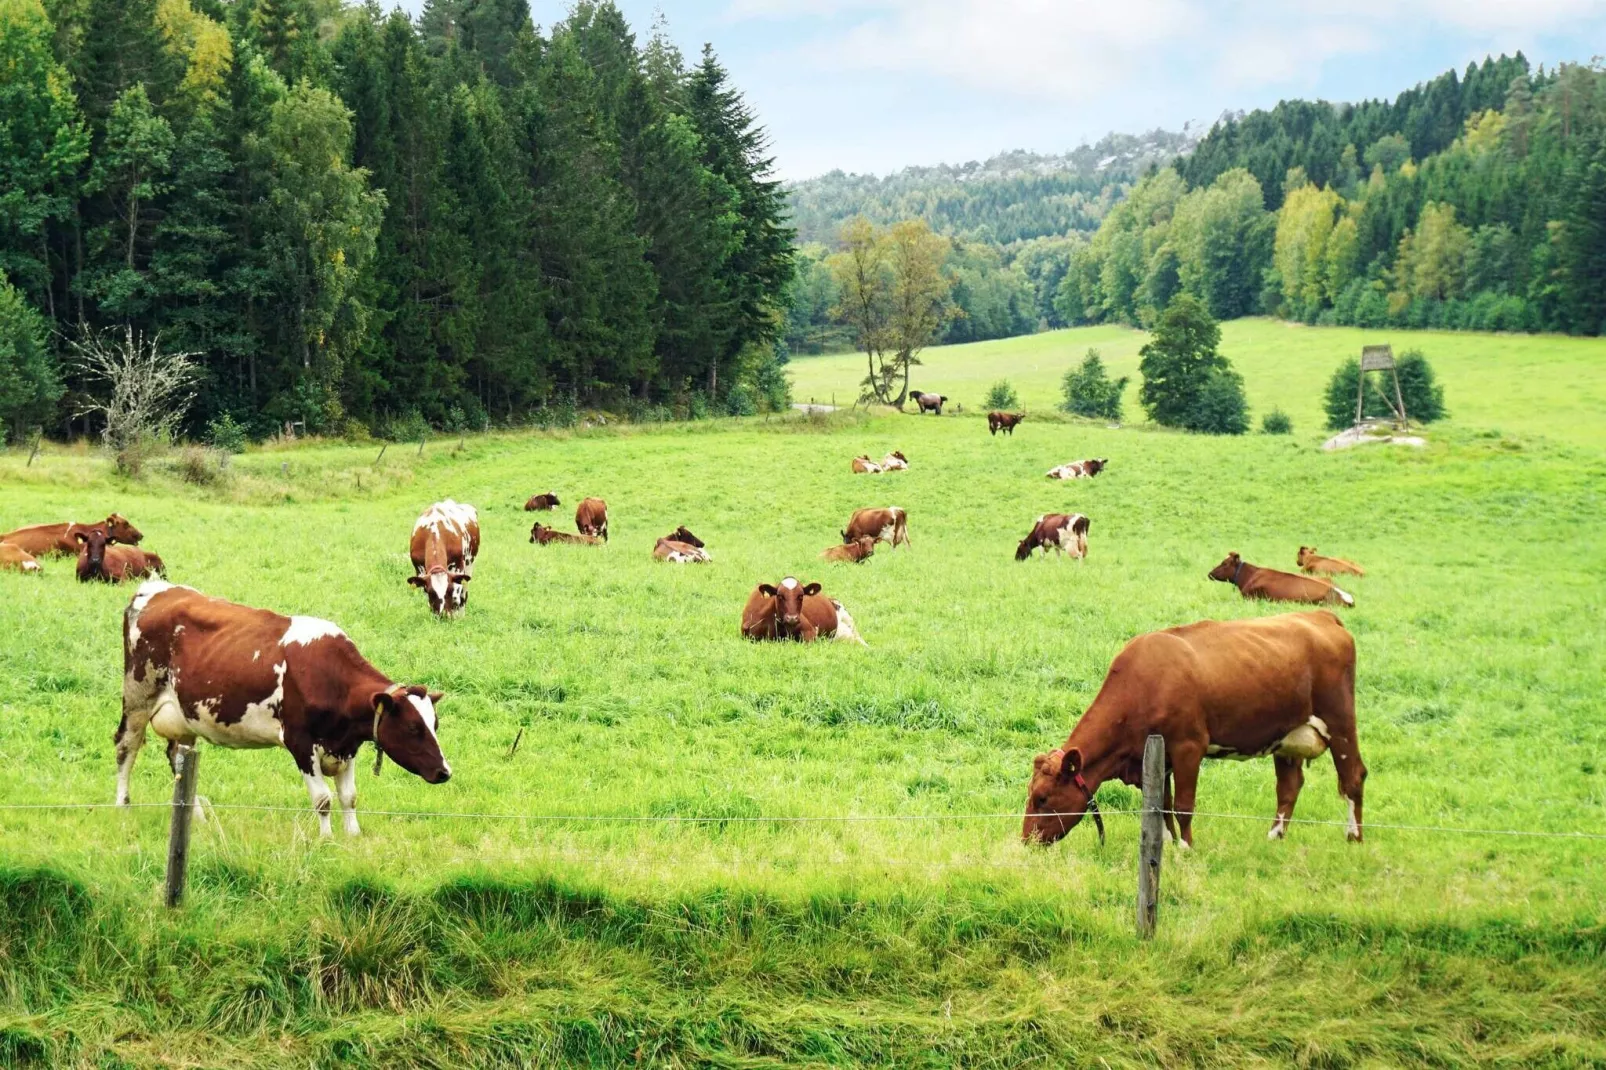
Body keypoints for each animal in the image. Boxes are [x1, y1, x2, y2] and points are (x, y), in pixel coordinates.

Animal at [116, 575, 449, 835]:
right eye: (412, 727)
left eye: (435, 724)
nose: (445, 772)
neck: (330, 676)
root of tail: (154, 588)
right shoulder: (300, 743)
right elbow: (323, 800)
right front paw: (326, 841)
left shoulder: (347, 745)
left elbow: (349, 797)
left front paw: (352, 838)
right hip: (137, 698)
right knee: (125, 747)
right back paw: (122, 807)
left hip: (185, 716)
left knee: (178, 759)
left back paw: (196, 817)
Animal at [1027, 607, 1368, 848]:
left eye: (1042, 798)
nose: (1026, 840)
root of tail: (1321, 616)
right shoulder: (1156, 756)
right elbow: (1161, 805)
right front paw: (1165, 843)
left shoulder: (1188, 747)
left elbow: (1182, 805)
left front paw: (1185, 848)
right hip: (1287, 736)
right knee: (1289, 785)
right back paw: (1274, 836)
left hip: (1340, 721)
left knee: (1353, 776)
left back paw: (1353, 837)